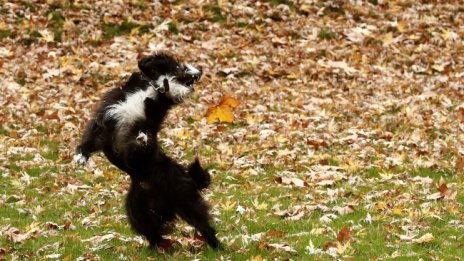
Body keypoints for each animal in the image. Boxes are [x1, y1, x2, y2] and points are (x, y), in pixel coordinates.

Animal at [74, 51, 221, 249]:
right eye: (180, 66)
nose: (201, 70)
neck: (155, 90)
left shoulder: (145, 126)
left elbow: (141, 141)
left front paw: (141, 139)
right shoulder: (107, 120)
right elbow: (90, 139)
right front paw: (81, 156)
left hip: (185, 199)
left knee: (203, 224)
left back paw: (217, 247)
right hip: (137, 210)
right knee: (151, 231)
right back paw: (158, 248)